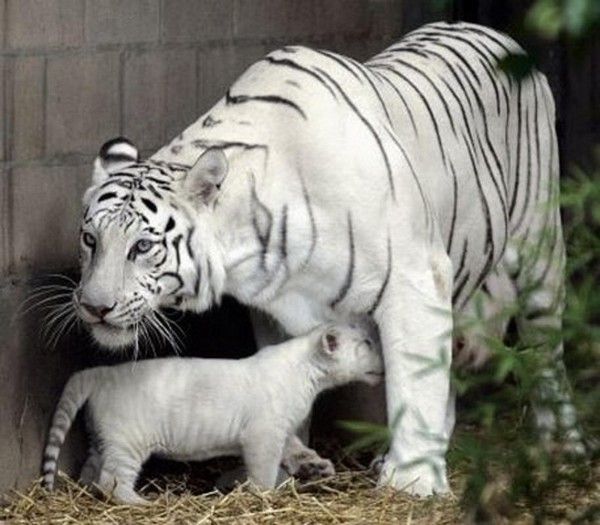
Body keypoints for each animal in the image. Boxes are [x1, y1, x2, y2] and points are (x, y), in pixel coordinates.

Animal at [42, 322, 382, 502]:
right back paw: (140, 503)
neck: (312, 376)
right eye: (366, 342)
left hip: (102, 438)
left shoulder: (281, 429)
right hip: (127, 440)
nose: (383, 360)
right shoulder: (263, 433)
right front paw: (264, 494)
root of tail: (99, 373)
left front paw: (318, 466)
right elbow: (264, 468)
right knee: (111, 480)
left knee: (91, 471)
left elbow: (296, 449)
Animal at [72, 21, 584, 496]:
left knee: (547, 353)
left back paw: (563, 446)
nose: (94, 307)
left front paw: (412, 481)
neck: (252, 240)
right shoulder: (272, 307)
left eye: (142, 246)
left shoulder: (415, 277)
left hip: (539, 251)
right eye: (90, 240)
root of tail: (492, 33)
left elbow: (414, 376)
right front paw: (289, 464)